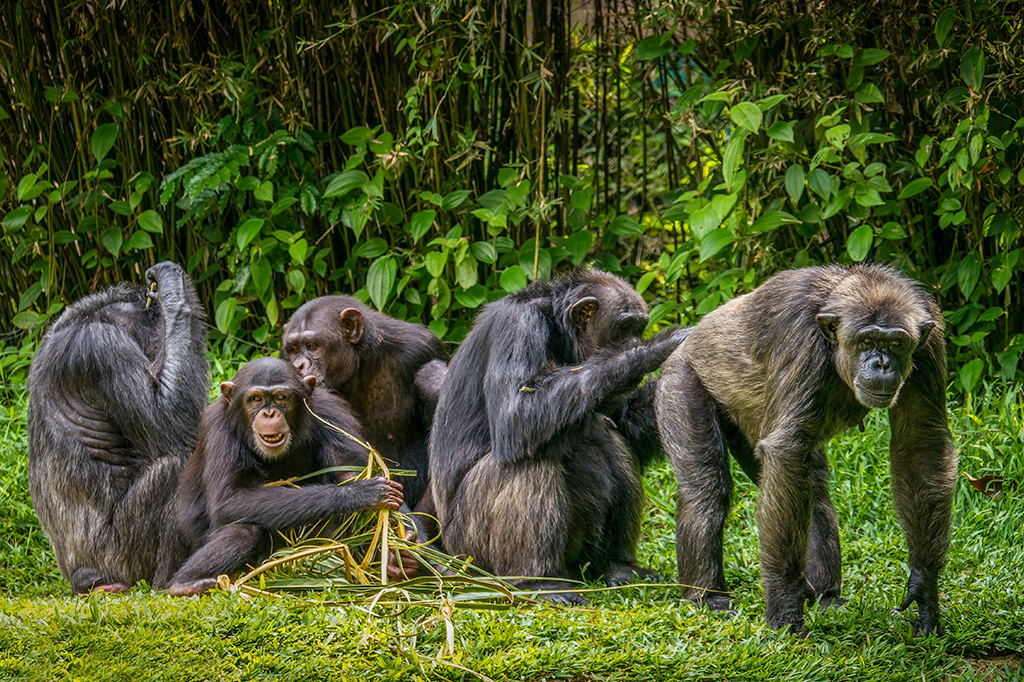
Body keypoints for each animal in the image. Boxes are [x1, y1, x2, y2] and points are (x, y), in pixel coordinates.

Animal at [28, 258, 207, 593]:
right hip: (124, 558)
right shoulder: (104, 348)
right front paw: (173, 293)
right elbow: (168, 420)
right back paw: (176, 582)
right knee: (177, 465)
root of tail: (83, 577)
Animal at [162, 356, 403, 593]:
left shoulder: (332, 414)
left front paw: (402, 553)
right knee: (244, 530)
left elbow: (350, 469)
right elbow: (229, 499)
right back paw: (184, 584)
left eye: (280, 397)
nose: (269, 413)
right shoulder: (219, 429)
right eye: (256, 399)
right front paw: (357, 494)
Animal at [423, 266, 688, 602]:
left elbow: (626, 422)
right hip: (472, 553)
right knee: (529, 463)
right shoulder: (519, 326)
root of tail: (450, 557)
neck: (557, 330)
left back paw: (618, 567)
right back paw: (539, 581)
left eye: (639, 327)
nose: (636, 338)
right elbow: (516, 412)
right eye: (625, 327)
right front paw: (652, 349)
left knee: (610, 437)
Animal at [655, 262, 958, 634]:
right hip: (680, 383)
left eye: (896, 342)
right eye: (867, 340)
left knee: (810, 488)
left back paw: (826, 594)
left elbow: (920, 444)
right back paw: (706, 595)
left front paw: (924, 587)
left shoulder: (929, 346)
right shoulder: (800, 338)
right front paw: (785, 604)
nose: (882, 363)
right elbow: (787, 448)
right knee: (706, 490)